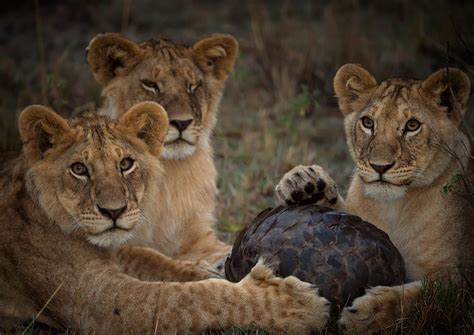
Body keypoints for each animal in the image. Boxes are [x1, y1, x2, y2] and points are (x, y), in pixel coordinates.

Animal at [0, 101, 330, 334]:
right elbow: (186, 300)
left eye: (126, 164)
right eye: (79, 169)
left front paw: (209, 272)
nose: (114, 212)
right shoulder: (97, 304)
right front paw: (293, 303)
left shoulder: (118, 252)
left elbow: (156, 260)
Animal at [86, 32, 237, 272]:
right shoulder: (111, 240)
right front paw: (200, 270)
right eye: (150, 85)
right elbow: (151, 258)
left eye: (193, 86)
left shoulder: (198, 238)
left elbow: (227, 248)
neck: (169, 173)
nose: (182, 122)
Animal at [276, 65, 472, 334]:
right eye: (368, 123)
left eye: (412, 125)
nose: (380, 166)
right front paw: (303, 183)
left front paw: (368, 316)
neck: (394, 206)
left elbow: (422, 295)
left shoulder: (460, 279)